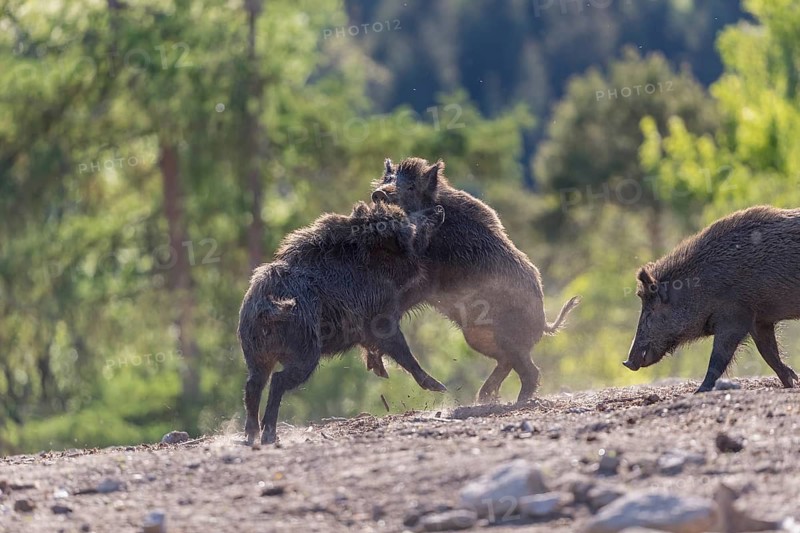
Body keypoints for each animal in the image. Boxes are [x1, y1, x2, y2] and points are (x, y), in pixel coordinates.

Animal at [238, 201, 446, 445]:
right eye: (408, 225)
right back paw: (269, 436)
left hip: (255, 354)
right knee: (277, 381)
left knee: (253, 385)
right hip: (304, 353)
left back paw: (251, 436)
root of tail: (266, 305)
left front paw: (380, 371)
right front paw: (439, 387)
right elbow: (402, 351)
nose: (439, 209)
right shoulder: (382, 319)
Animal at [371, 157, 580, 402]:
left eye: (411, 186)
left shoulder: (429, 277)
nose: (379, 193)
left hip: (507, 336)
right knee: (506, 362)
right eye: (387, 179)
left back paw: (515, 401)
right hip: (476, 337)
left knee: (530, 370)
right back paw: (483, 397)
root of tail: (544, 322)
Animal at [624, 205, 800, 392]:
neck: (702, 289)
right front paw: (791, 382)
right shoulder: (759, 320)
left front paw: (698, 392)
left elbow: (718, 358)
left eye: (651, 311)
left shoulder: (734, 317)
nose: (627, 362)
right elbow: (768, 352)